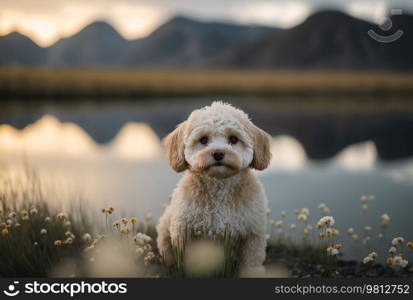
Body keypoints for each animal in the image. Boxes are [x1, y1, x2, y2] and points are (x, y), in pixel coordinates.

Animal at [156, 102, 272, 274]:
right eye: (203, 139)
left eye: (233, 139)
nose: (218, 153)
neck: (219, 186)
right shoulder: (184, 230)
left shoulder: (252, 232)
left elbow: (252, 259)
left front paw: (253, 273)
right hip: (165, 227)